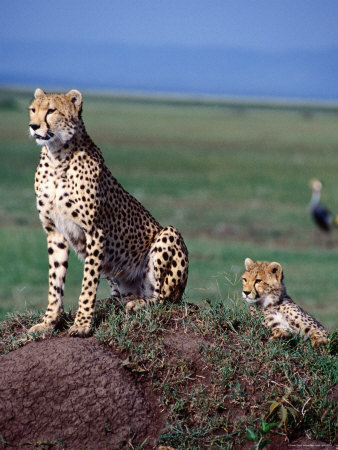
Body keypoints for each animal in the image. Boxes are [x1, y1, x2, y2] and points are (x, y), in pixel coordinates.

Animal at [28, 88, 189, 336]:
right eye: (33, 109)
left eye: (51, 111)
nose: (33, 126)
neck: (57, 157)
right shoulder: (55, 231)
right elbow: (55, 281)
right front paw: (49, 322)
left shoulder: (95, 231)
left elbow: (88, 282)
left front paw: (82, 324)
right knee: (123, 297)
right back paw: (119, 301)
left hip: (168, 235)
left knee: (164, 299)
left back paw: (140, 303)